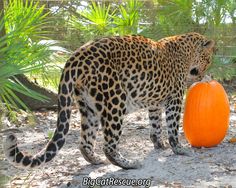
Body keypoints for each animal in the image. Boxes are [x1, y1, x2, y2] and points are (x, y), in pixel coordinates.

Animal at [3, 32, 216, 169]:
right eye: (208, 60)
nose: (203, 74)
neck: (186, 51)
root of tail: (76, 56)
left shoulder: (155, 102)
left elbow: (155, 125)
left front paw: (159, 144)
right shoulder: (175, 99)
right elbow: (172, 126)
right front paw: (178, 149)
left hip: (87, 106)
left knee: (85, 142)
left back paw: (95, 160)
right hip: (115, 101)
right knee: (109, 144)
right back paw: (128, 164)